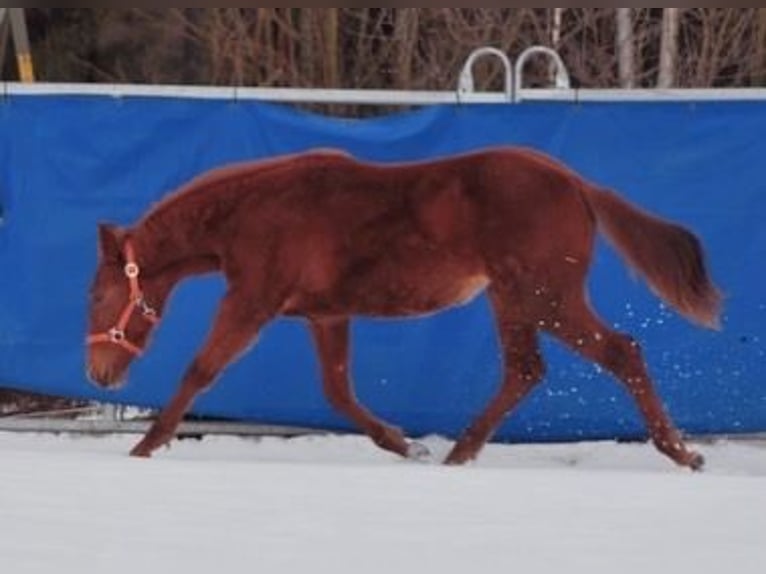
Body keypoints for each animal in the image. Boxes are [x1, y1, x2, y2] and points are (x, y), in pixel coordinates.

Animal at [86, 146, 721, 470]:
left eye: (97, 295)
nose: (98, 374)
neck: (253, 213)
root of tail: (577, 184)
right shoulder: (326, 315)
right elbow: (338, 391)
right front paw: (401, 442)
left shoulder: (251, 302)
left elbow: (201, 370)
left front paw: (145, 445)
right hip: (513, 298)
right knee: (525, 370)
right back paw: (459, 452)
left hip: (546, 297)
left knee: (620, 352)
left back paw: (682, 452)